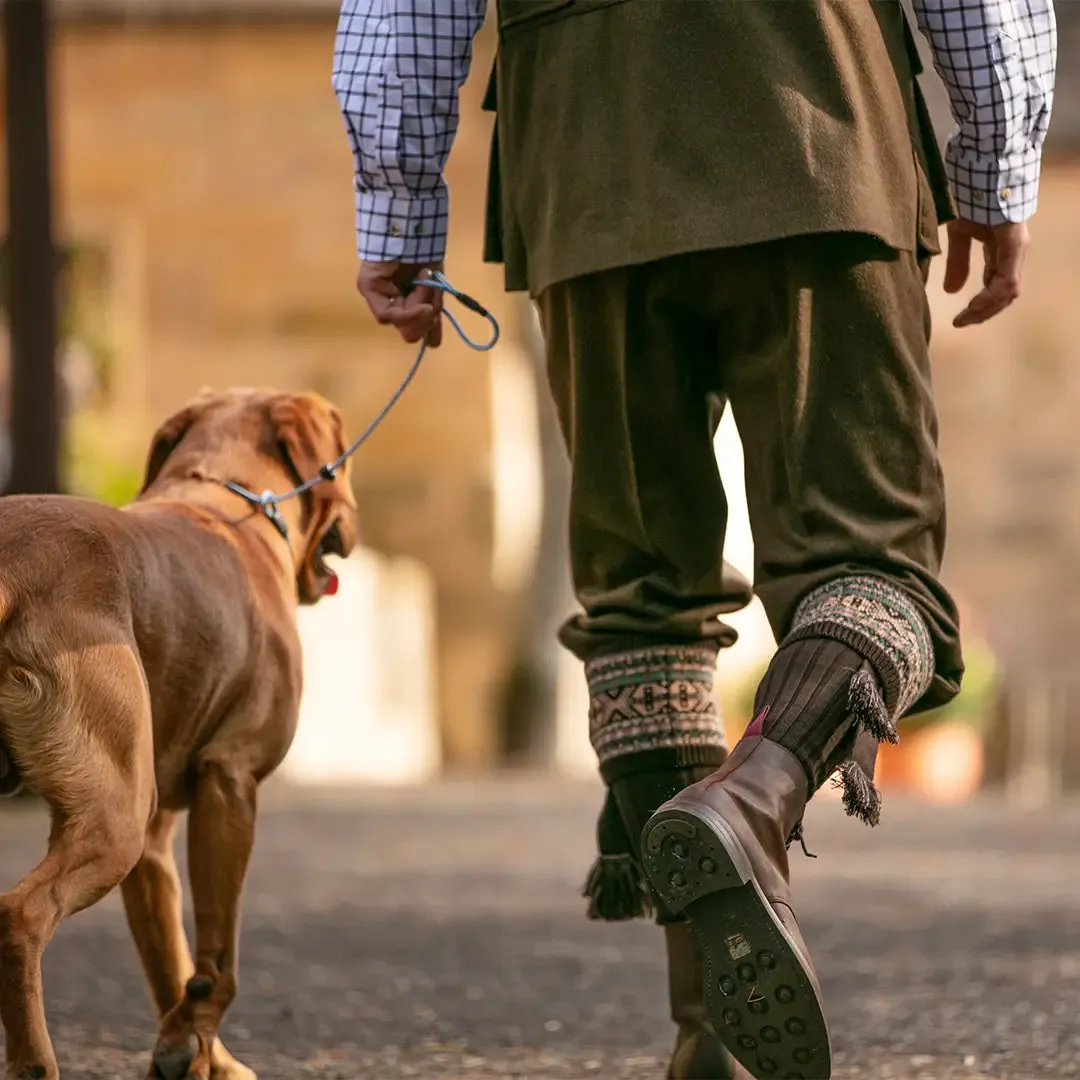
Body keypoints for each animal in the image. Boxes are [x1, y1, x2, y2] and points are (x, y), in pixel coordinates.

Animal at [0, 388, 362, 1080]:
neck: (227, 502)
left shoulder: (155, 843)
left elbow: (170, 960)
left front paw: (199, 1054)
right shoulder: (231, 782)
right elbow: (218, 958)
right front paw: (189, 1045)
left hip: (125, 818)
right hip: (115, 817)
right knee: (19, 916)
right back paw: (34, 1064)